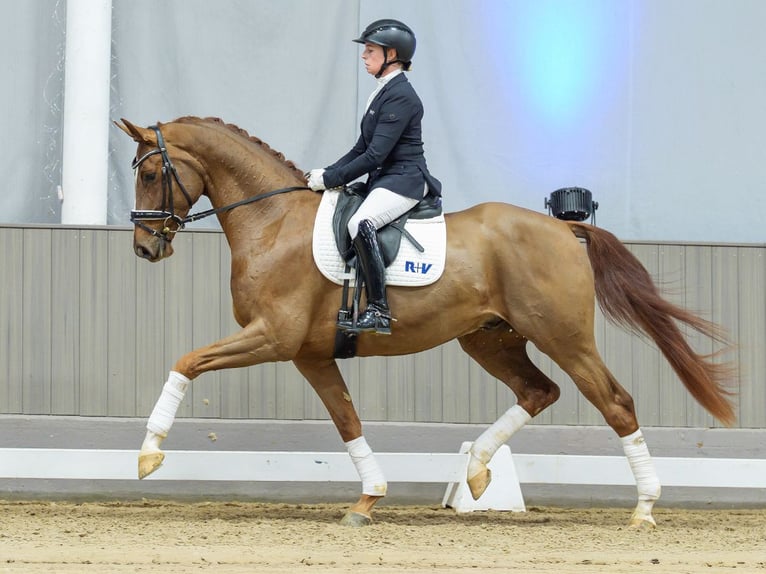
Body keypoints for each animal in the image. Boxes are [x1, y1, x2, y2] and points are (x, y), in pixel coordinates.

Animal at [116, 116, 736, 528]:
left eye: (151, 173)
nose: (145, 248)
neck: (273, 221)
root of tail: (564, 227)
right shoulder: (309, 354)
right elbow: (347, 421)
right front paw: (368, 498)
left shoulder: (272, 336)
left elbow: (186, 361)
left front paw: (148, 453)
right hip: (490, 341)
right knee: (539, 391)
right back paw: (478, 471)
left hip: (564, 336)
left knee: (616, 402)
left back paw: (644, 508)